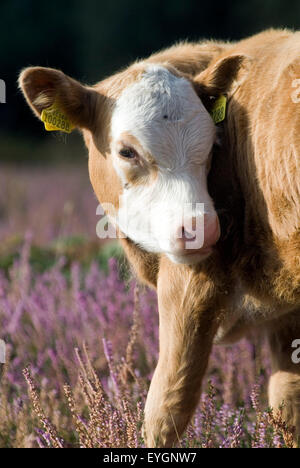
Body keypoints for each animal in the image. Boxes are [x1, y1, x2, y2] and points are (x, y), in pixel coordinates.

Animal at [18, 28, 300, 446]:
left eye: (212, 145)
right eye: (126, 151)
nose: (200, 228)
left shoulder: (187, 288)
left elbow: (165, 411)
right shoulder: (287, 320)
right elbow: (289, 406)